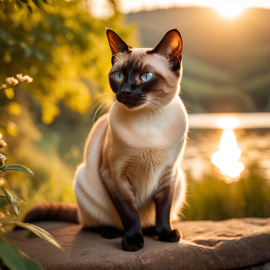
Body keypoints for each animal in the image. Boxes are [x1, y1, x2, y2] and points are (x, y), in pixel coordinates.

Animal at [23, 27, 188, 251]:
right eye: (118, 76)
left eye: (146, 76)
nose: (125, 91)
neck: (148, 120)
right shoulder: (115, 176)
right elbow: (130, 213)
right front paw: (133, 241)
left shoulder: (168, 174)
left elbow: (163, 210)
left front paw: (165, 234)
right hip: (83, 181)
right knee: (91, 224)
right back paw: (110, 231)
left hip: (180, 180)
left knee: (150, 219)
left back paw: (151, 229)